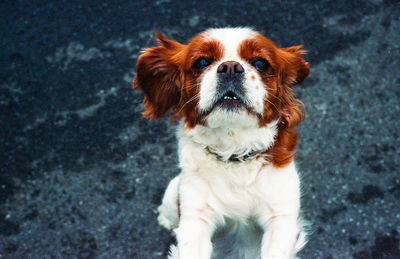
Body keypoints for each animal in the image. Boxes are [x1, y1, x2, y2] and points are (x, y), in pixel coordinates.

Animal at [133, 27, 310, 259]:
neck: (234, 154)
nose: (231, 67)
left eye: (260, 63)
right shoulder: (195, 218)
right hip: (175, 189)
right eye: (201, 62)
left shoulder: (281, 218)